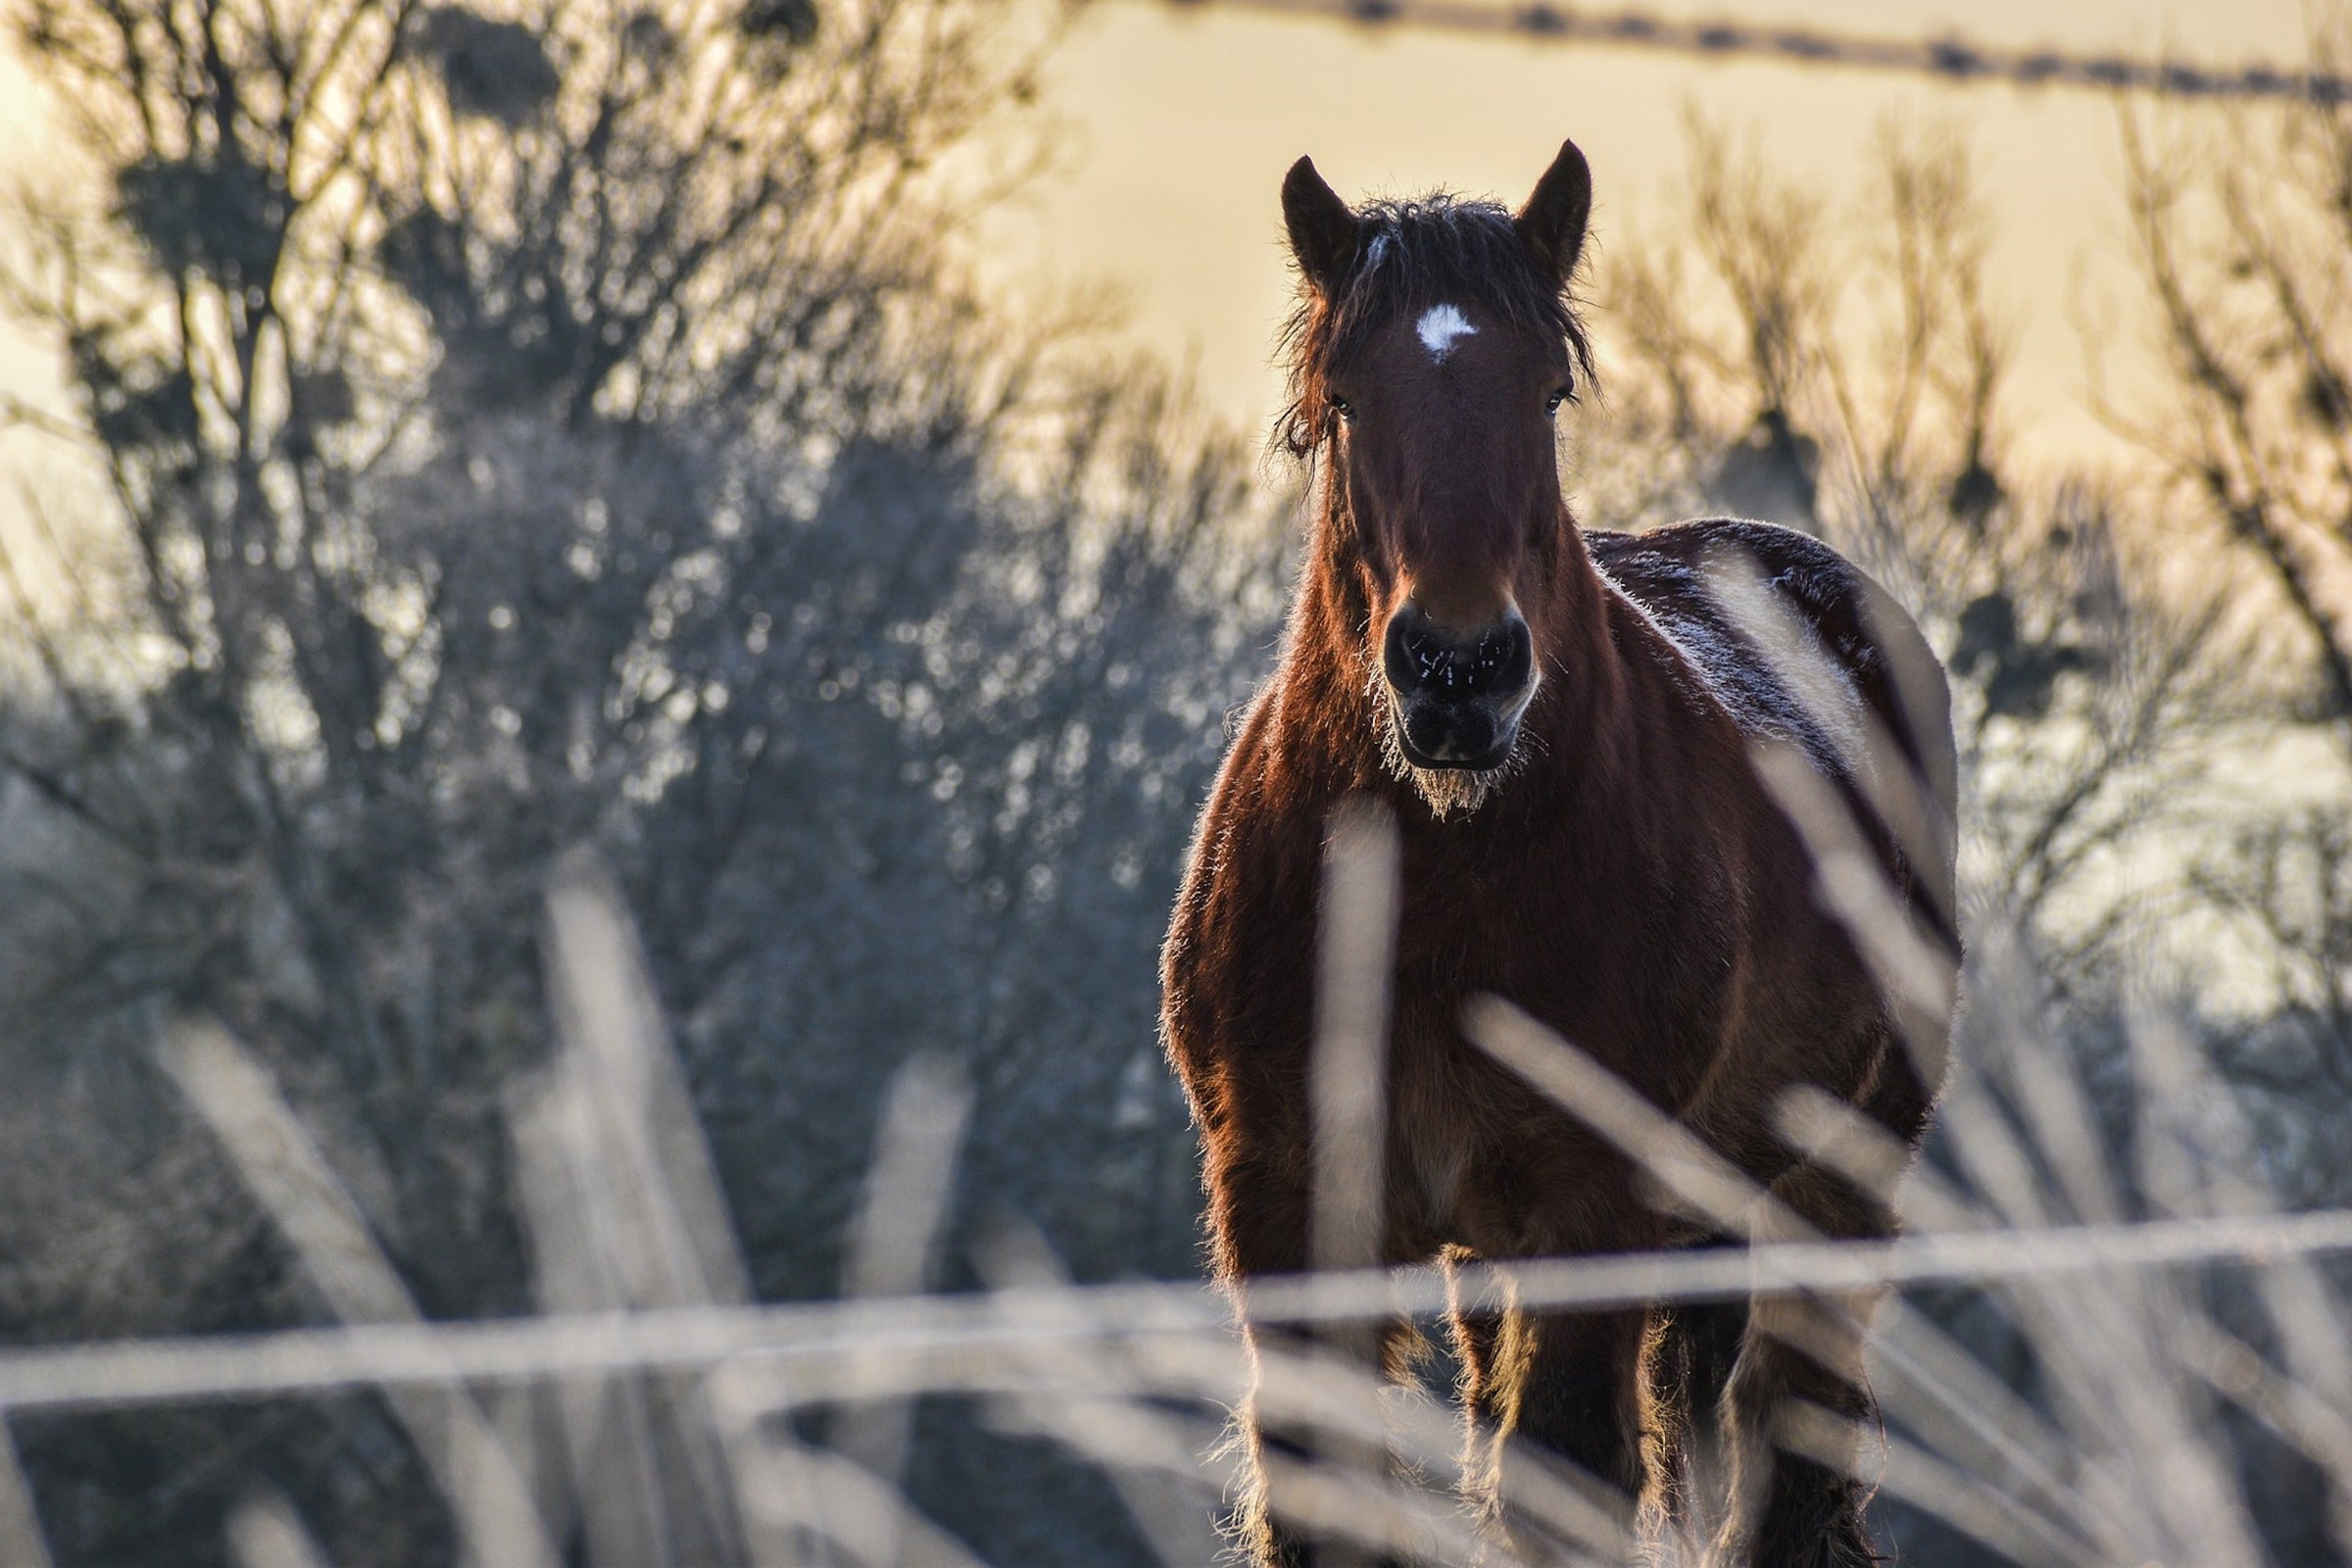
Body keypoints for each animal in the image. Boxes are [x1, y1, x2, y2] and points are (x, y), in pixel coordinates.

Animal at [1161, 137, 1966, 1568]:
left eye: (1544, 391)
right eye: (1348, 398)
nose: (1458, 673)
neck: (1433, 889)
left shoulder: (1590, 1210)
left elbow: (1571, 1476)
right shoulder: (1287, 1201)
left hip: (1831, 1180)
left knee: (1786, 1439)